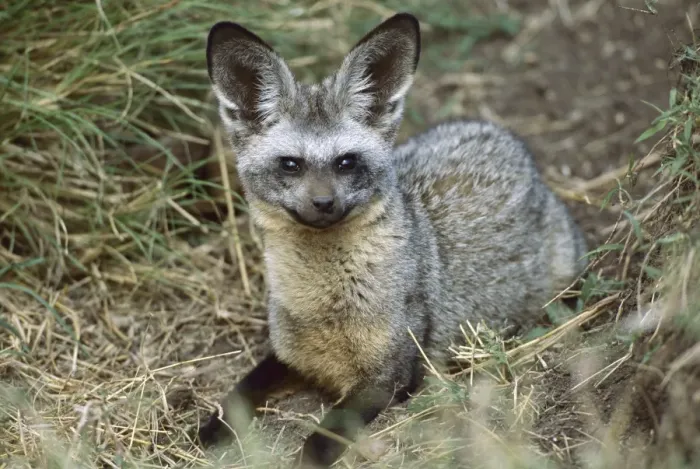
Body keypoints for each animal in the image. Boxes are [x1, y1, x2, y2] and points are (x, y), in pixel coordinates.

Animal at [196, 12, 588, 468]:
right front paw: (212, 426)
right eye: (290, 165)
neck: (328, 307)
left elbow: (320, 437)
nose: (324, 203)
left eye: (346, 162)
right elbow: (239, 394)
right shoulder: (288, 354)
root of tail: (505, 137)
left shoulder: (392, 375)